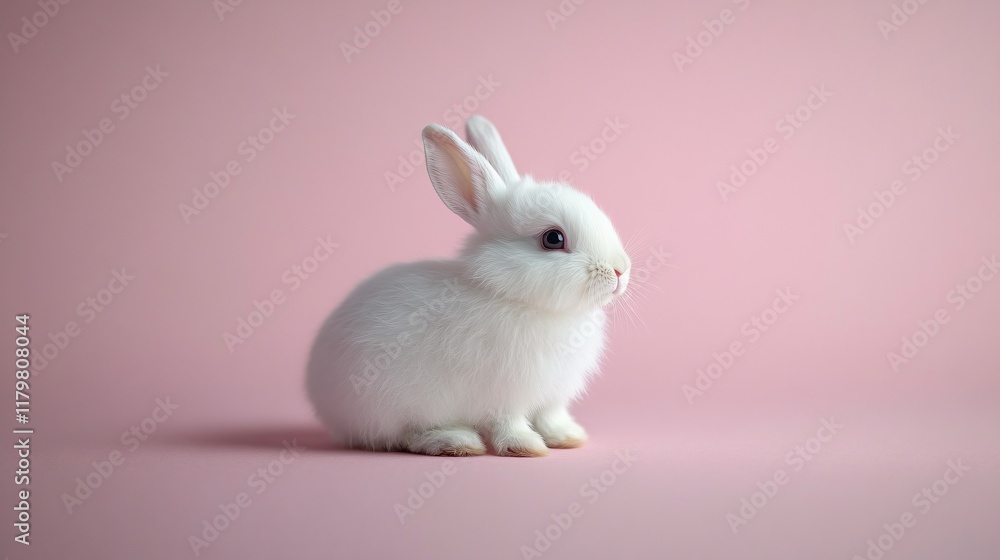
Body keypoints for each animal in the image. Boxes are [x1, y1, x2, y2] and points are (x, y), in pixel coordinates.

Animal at [306, 115, 631, 457]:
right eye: (553, 238)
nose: (621, 270)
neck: (512, 296)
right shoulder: (504, 394)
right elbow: (509, 422)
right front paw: (526, 446)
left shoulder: (551, 397)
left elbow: (550, 417)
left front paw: (568, 437)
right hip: (394, 407)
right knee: (407, 434)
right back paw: (457, 441)